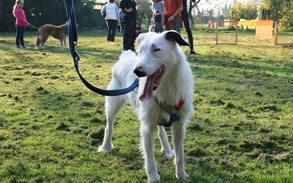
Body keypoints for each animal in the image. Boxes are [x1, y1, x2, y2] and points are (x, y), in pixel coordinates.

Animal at [98, 30, 194, 182]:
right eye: (141, 51)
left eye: (157, 49)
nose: (137, 71)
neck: (166, 86)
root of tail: (124, 57)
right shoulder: (147, 128)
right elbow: (150, 159)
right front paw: (153, 177)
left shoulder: (179, 125)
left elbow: (180, 155)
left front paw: (181, 174)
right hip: (112, 104)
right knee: (109, 126)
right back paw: (106, 146)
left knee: (161, 131)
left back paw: (167, 149)